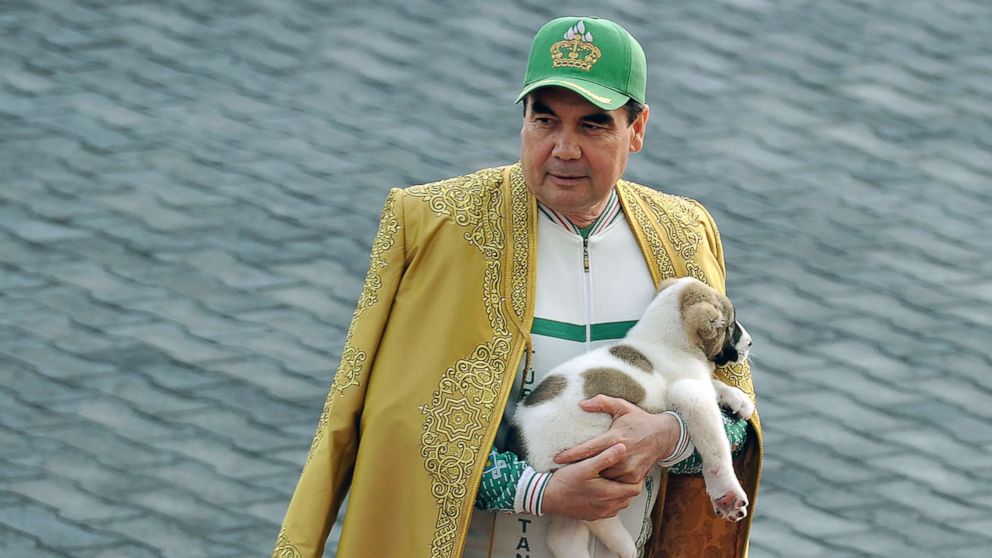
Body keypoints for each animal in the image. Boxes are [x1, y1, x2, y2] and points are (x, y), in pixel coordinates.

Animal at [512, 276, 752, 558]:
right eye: (731, 325)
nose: (750, 343)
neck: (662, 340)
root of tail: (523, 447)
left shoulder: (696, 383)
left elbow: (714, 385)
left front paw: (738, 398)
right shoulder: (691, 394)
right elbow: (717, 448)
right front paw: (727, 494)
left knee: (563, 536)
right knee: (597, 519)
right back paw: (626, 545)